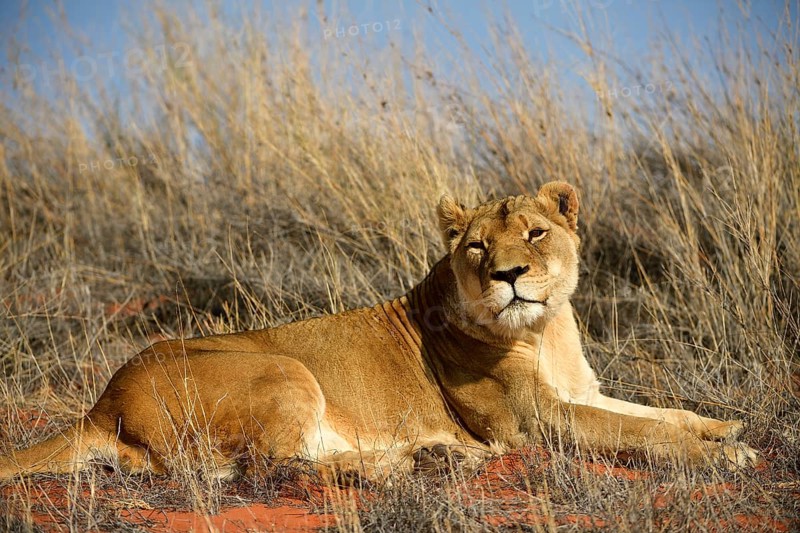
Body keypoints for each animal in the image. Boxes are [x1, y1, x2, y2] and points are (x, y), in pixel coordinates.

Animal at [0, 181, 759, 483]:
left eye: (537, 233)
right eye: (478, 246)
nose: (510, 274)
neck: (547, 327)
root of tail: (103, 400)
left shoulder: (580, 394)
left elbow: (656, 412)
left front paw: (725, 430)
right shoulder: (533, 421)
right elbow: (641, 433)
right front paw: (722, 458)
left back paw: (438, 456)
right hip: (284, 370)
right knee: (270, 465)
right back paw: (409, 464)